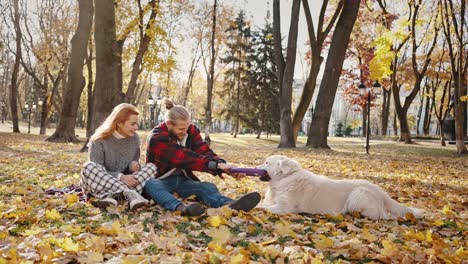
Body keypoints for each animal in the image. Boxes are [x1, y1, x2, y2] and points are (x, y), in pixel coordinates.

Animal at [256, 156, 424, 220]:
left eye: (266, 162)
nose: (255, 167)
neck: (285, 179)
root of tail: (381, 191)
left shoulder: (284, 207)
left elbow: (263, 207)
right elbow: (262, 203)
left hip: (358, 194)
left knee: (382, 215)